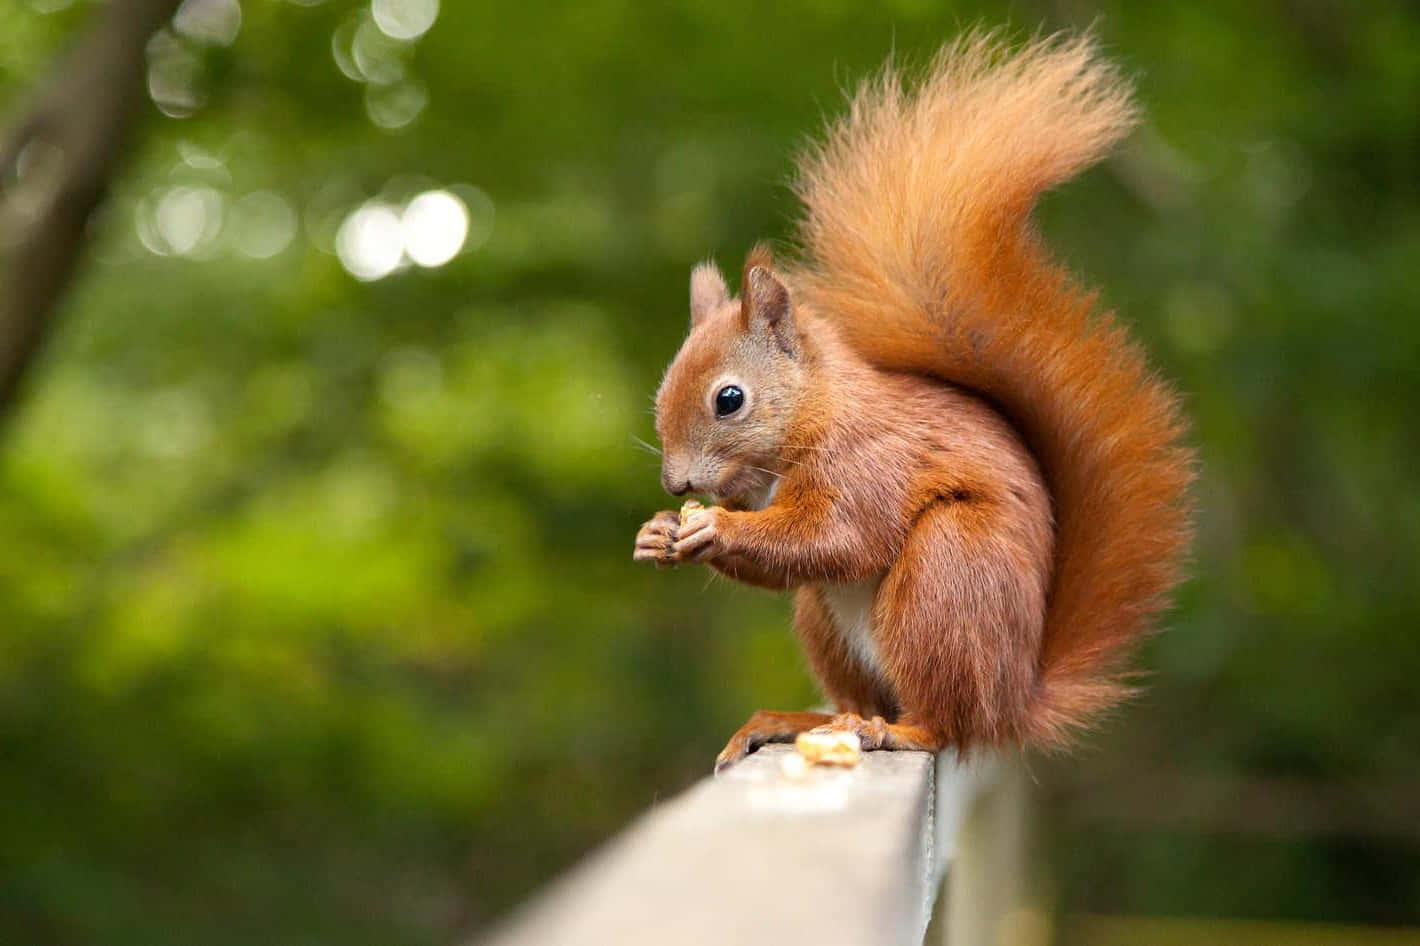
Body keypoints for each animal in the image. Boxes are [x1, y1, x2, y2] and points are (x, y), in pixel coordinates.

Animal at [639, 33, 1192, 772]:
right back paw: (798, 720)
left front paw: (713, 529)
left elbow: (835, 536)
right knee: (861, 691)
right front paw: (658, 532)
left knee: (943, 722)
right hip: (829, 624)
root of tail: (1012, 701)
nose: (676, 485)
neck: (814, 415)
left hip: (945, 577)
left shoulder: (869, 464)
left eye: (730, 399)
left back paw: (901, 731)